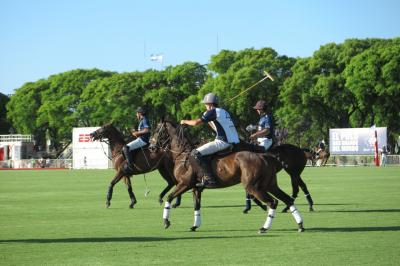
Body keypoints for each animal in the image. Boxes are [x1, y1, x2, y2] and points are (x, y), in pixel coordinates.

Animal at [152, 119, 304, 234]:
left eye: (157, 130)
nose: (152, 147)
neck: (183, 154)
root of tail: (265, 156)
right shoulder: (195, 188)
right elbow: (197, 206)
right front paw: (195, 225)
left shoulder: (185, 183)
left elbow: (169, 197)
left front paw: (166, 222)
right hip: (270, 185)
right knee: (288, 199)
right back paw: (300, 225)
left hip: (254, 186)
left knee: (273, 202)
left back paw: (264, 227)